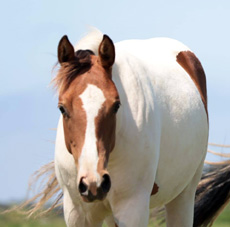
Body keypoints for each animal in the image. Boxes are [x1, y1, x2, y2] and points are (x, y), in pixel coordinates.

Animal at [54, 30, 208, 227]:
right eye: (62, 108)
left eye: (116, 106)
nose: (93, 183)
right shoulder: (78, 214)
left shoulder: (133, 209)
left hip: (184, 196)